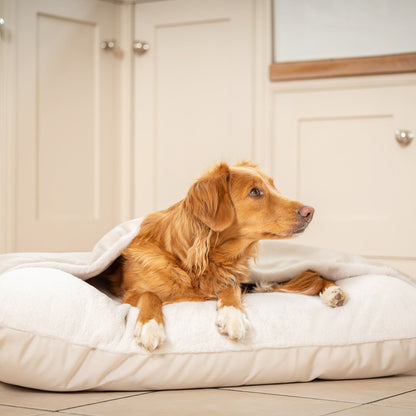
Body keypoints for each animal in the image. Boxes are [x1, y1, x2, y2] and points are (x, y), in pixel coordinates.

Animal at [109, 162, 344, 352]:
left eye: (273, 186)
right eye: (255, 192)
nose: (310, 212)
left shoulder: (230, 279)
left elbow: (230, 288)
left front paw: (232, 316)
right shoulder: (128, 295)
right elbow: (150, 295)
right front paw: (150, 327)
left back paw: (333, 291)